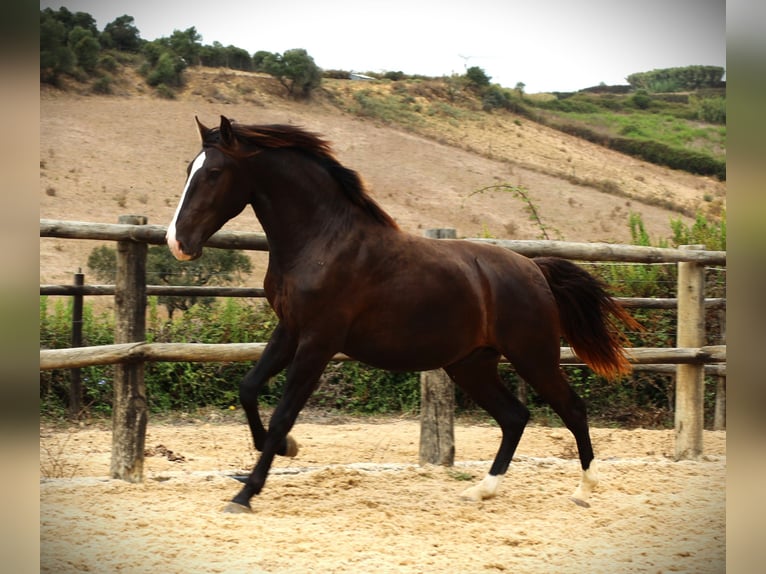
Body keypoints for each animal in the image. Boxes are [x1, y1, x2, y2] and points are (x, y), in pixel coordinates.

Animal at [168, 115, 640, 516]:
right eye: (188, 168)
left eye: (213, 173)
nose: (178, 242)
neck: (323, 241)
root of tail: (534, 269)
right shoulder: (290, 330)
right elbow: (249, 389)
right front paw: (285, 448)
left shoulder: (319, 341)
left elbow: (284, 410)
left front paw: (246, 493)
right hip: (471, 365)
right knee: (514, 417)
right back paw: (480, 490)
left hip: (533, 356)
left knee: (572, 409)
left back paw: (583, 490)